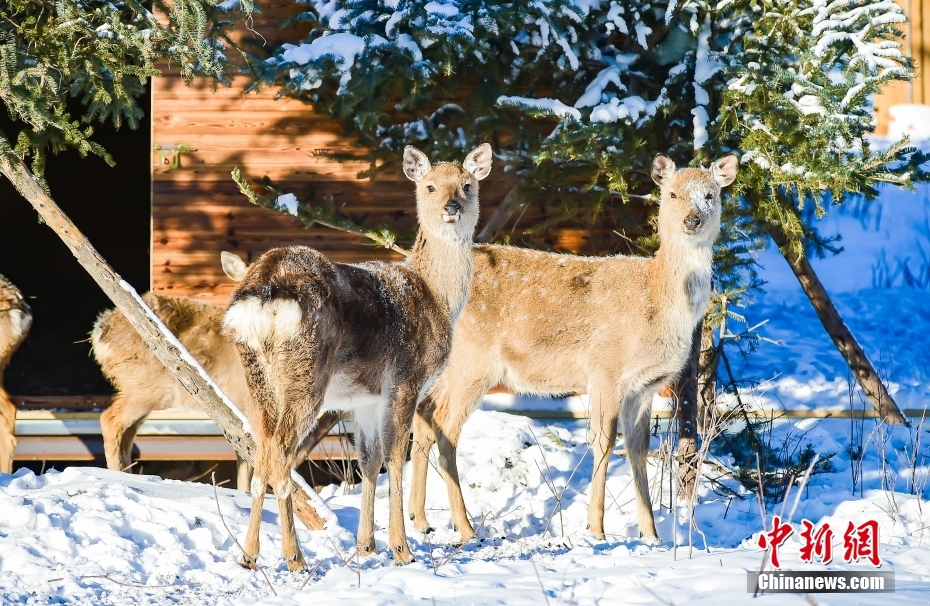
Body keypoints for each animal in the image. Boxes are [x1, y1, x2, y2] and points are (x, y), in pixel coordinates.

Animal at [220, 145, 490, 572]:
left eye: (468, 185)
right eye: (429, 186)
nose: (452, 206)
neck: (437, 297)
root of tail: (263, 290)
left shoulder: (364, 398)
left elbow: (368, 461)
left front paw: (367, 546)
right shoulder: (405, 378)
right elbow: (396, 456)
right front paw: (401, 549)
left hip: (255, 376)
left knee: (260, 448)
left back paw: (249, 555)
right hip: (305, 372)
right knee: (280, 452)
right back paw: (294, 556)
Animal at [410, 154, 736, 544]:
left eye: (710, 194)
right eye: (671, 194)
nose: (692, 219)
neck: (656, 300)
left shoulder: (644, 388)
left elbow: (639, 449)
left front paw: (651, 534)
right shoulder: (606, 370)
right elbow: (604, 442)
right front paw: (596, 528)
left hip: (446, 369)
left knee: (423, 415)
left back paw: (420, 520)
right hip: (472, 363)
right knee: (445, 426)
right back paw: (465, 527)